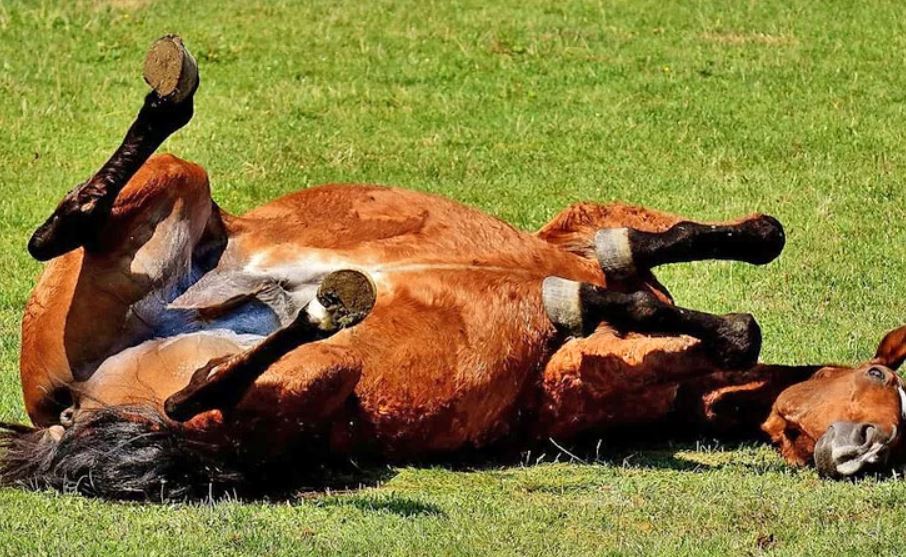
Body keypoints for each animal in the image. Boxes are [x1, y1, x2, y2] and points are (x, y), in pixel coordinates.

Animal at [3, 37, 900, 498]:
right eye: (882, 377)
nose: (864, 452)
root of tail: (65, 410)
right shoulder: (580, 239)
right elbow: (688, 277)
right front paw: (616, 294)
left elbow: (673, 295)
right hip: (181, 201)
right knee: (63, 233)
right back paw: (171, 97)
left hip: (300, 380)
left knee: (197, 389)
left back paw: (325, 302)